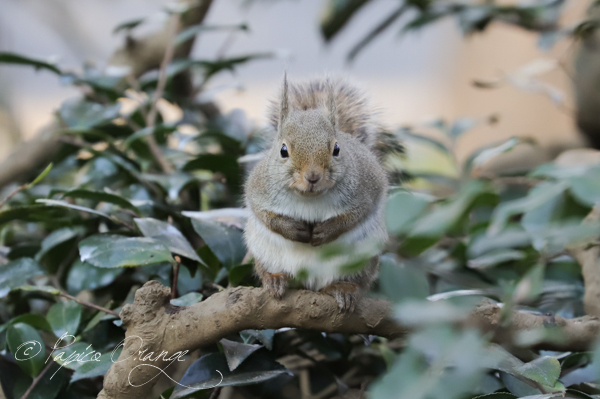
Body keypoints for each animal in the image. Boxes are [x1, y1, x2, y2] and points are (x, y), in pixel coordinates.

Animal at [245, 75, 392, 312]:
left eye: (337, 149)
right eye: (283, 150)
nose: (312, 176)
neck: (309, 197)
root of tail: (310, 282)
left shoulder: (367, 190)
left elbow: (356, 215)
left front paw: (326, 231)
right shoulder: (258, 190)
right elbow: (265, 215)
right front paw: (292, 229)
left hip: (360, 260)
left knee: (352, 282)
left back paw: (343, 288)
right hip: (265, 253)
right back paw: (276, 279)